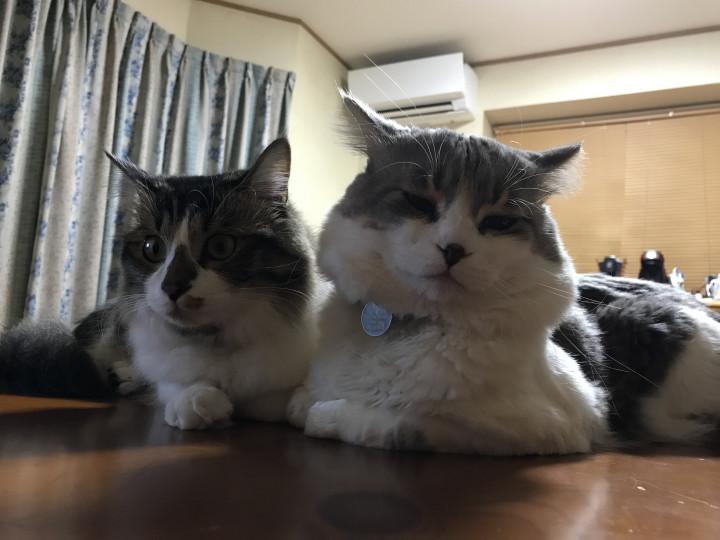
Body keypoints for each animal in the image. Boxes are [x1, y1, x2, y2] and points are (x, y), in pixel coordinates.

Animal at [0, 138, 321, 430]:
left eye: (220, 247)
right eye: (152, 248)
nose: (173, 287)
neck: (214, 339)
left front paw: (306, 405)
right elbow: (173, 382)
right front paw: (196, 401)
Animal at [287, 92, 720, 455]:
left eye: (498, 222)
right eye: (418, 202)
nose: (453, 249)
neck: (412, 328)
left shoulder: (561, 421)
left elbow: (400, 421)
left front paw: (329, 414)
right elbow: (303, 399)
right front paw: (308, 399)